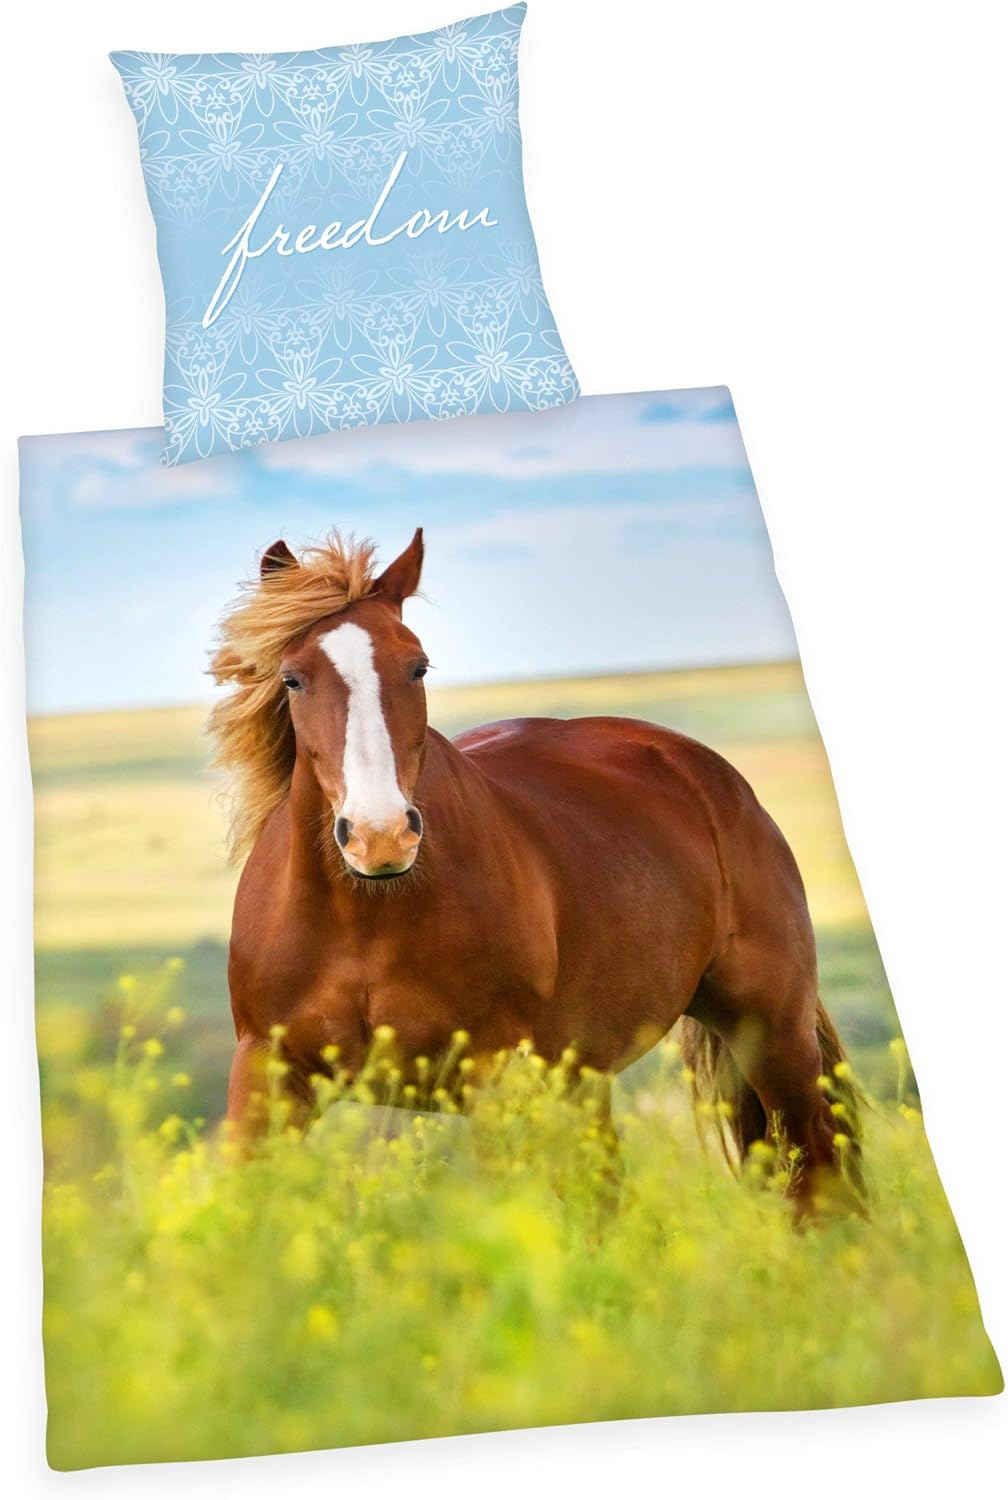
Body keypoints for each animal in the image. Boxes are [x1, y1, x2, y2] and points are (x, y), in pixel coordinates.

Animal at [209, 528, 861, 1204]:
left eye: (417, 666)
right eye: (292, 679)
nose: (380, 836)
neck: (366, 917)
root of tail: (702, 769)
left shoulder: (493, 1078)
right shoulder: (267, 1074)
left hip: (773, 1034)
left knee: (816, 1168)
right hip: (587, 1075)